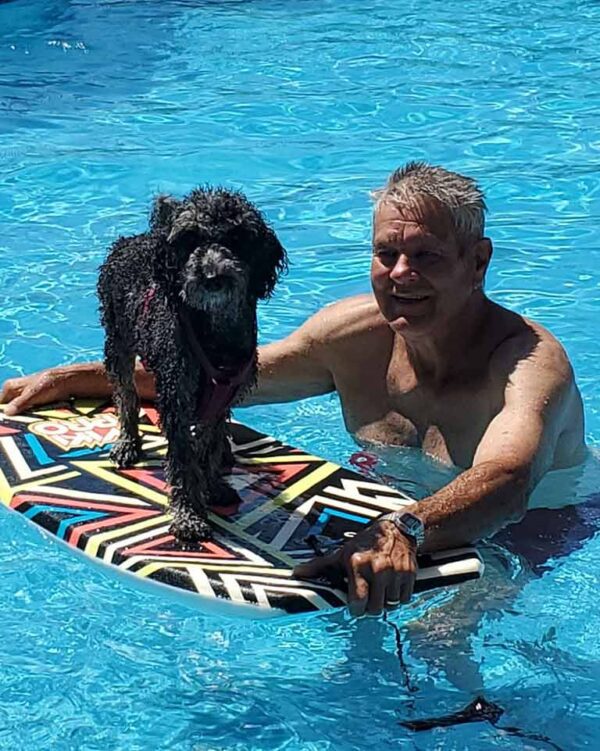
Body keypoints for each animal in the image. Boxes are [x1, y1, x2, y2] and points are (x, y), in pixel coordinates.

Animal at [97, 187, 288, 540]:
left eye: (236, 237)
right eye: (189, 238)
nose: (212, 276)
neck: (215, 328)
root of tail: (134, 240)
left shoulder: (223, 397)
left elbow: (207, 447)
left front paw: (212, 487)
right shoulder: (177, 397)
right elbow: (184, 461)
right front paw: (188, 516)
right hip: (117, 343)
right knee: (126, 395)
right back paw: (127, 442)